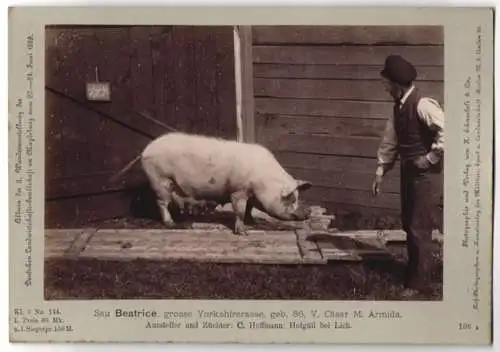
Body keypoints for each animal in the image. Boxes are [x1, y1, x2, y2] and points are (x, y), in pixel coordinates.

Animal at [137, 133, 312, 236]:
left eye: (297, 196)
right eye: (290, 198)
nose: (308, 211)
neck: (262, 182)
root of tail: (145, 150)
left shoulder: (249, 193)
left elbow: (249, 209)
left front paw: (253, 223)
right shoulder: (238, 191)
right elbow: (240, 211)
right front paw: (244, 232)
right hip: (160, 180)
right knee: (162, 203)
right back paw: (170, 223)